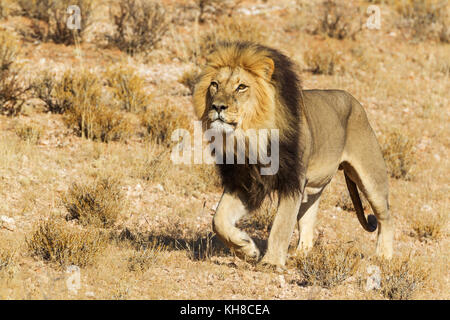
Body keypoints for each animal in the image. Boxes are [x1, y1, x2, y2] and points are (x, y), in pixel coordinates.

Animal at [193, 42, 394, 268]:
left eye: (241, 87)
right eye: (214, 84)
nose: (217, 106)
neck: (250, 136)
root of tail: (354, 101)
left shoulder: (293, 181)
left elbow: (281, 225)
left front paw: (271, 263)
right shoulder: (246, 182)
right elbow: (218, 219)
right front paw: (247, 249)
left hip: (371, 178)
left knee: (385, 216)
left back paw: (384, 256)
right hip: (312, 187)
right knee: (308, 215)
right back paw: (301, 253)